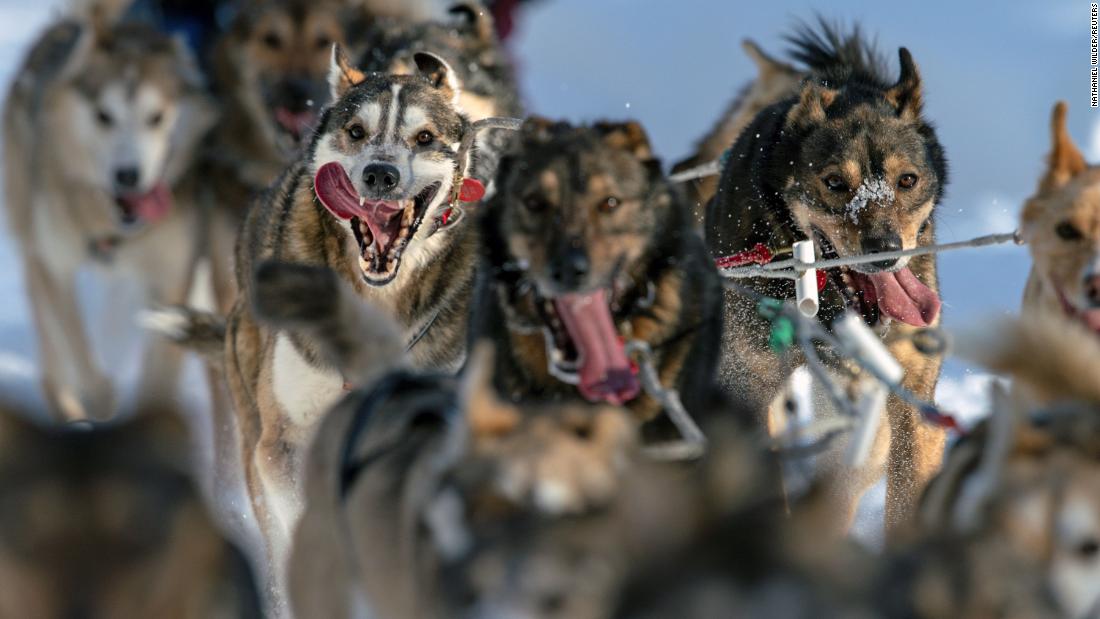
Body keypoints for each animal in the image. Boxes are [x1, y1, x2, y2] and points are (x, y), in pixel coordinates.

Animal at [3, 9, 212, 424]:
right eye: (103, 116)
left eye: (156, 117)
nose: (128, 175)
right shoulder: (55, 264)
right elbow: (76, 343)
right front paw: (101, 402)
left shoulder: (172, 277)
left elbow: (159, 374)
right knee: (49, 333)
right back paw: (66, 407)